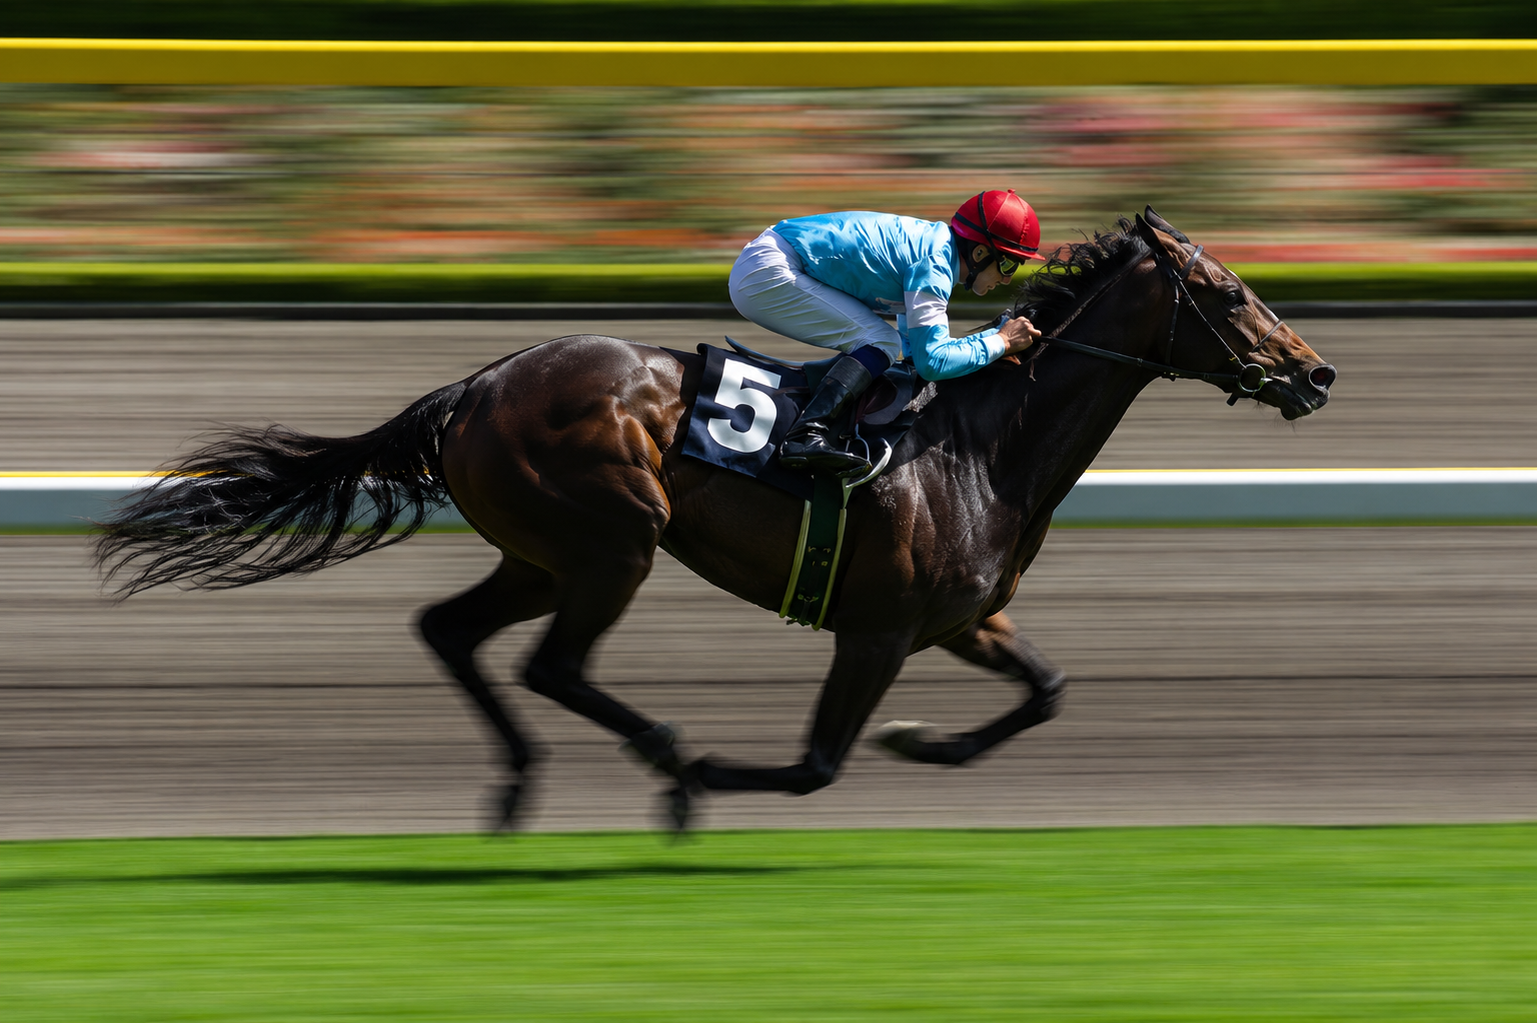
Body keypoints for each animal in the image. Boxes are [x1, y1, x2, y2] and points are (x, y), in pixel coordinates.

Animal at [96, 208, 1336, 831]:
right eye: (1227, 294)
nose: (1316, 373)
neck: (984, 448)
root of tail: (481, 384)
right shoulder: (877, 629)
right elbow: (817, 766)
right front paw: (710, 775)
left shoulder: (962, 621)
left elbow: (1046, 691)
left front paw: (926, 743)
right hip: (612, 539)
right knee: (553, 665)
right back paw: (668, 763)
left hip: (541, 553)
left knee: (451, 632)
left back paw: (517, 785)